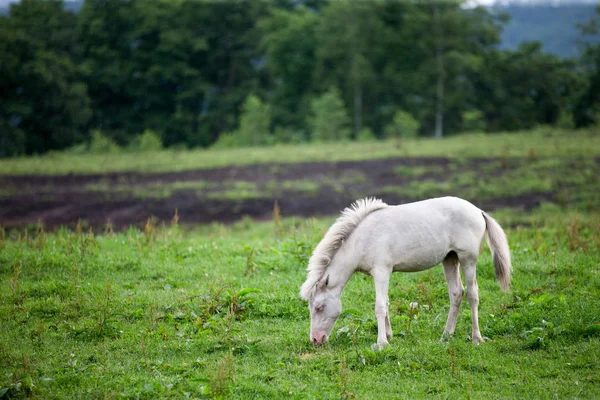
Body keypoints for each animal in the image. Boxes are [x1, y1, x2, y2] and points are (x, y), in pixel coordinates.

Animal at [300, 196, 510, 346]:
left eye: (318, 307)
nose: (315, 340)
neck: (363, 239)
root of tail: (478, 211)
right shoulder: (381, 274)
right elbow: (385, 303)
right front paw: (389, 335)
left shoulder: (382, 271)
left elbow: (380, 306)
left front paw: (382, 343)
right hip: (450, 259)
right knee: (457, 293)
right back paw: (445, 336)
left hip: (468, 260)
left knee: (473, 294)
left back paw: (476, 338)